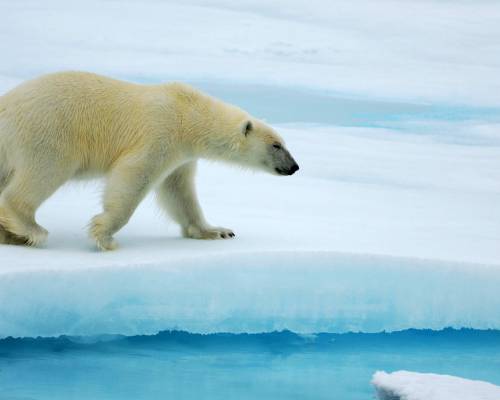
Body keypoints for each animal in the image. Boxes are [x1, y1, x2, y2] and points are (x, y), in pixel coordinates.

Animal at [0, 70, 296, 248]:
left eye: (284, 143)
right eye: (276, 145)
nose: (294, 166)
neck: (188, 114)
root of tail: (6, 106)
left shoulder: (182, 156)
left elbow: (179, 192)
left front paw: (216, 231)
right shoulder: (160, 134)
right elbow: (134, 176)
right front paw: (104, 235)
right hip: (49, 132)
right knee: (44, 172)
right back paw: (29, 229)